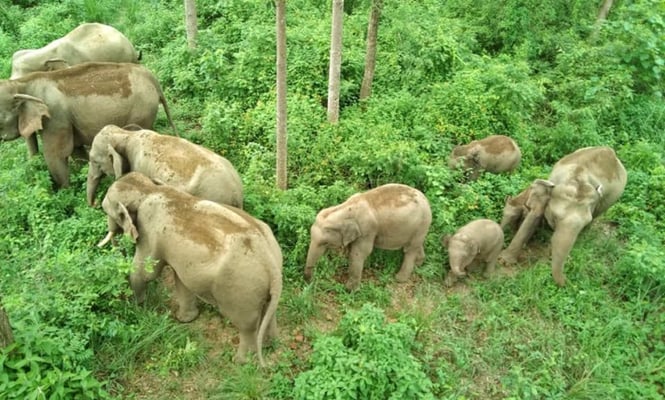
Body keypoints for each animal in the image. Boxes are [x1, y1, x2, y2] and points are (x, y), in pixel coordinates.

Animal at [0, 62, 177, 188]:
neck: (22, 83)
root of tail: (152, 77)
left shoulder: (56, 117)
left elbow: (56, 155)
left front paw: (66, 195)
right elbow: (76, 151)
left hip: (142, 110)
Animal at [97, 172, 282, 366]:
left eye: (107, 210)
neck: (149, 189)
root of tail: (269, 261)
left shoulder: (149, 230)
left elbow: (145, 272)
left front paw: (138, 307)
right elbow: (181, 280)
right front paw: (185, 320)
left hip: (240, 288)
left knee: (246, 325)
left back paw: (240, 361)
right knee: (269, 310)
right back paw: (270, 345)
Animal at [500, 146, 627, 286]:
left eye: (585, 222)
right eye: (555, 217)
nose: (569, 281)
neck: (576, 179)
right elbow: (533, 217)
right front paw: (504, 262)